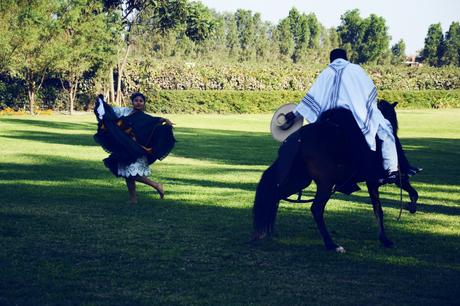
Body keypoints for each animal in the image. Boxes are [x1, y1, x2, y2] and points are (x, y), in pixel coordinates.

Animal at [253, 99, 418, 252]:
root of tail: (296, 140)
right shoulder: (379, 180)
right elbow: (386, 206)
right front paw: (388, 236)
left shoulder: (376, 181)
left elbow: (387, 205)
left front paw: (386, 236)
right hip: (324, 183)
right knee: (316, 208)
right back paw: (331, 245)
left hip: (300, 180)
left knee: (275, 194)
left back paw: (268, 230)